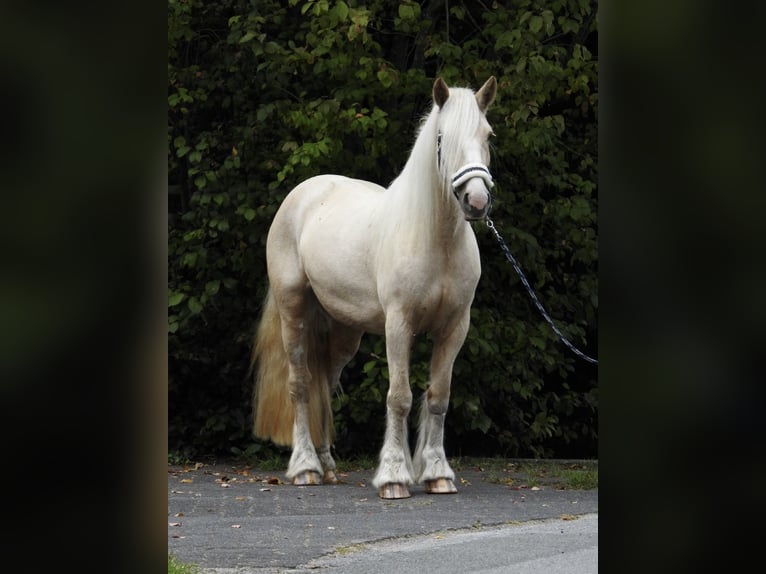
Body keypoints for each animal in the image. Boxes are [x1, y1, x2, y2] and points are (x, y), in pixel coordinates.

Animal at [252, 76, 500, 500]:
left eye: (487, 135)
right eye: (441, 139)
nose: (476, 200)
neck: (435, 241)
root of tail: (303, 193)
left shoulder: (454, 328)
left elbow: (439, 397)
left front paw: (438, 475)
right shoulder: (398, 326)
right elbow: (399, 398)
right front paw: (395, 477)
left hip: (344, 331)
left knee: (325, 382)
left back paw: (328, 465)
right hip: (293, 311)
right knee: (301, 384)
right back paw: (306, 468)